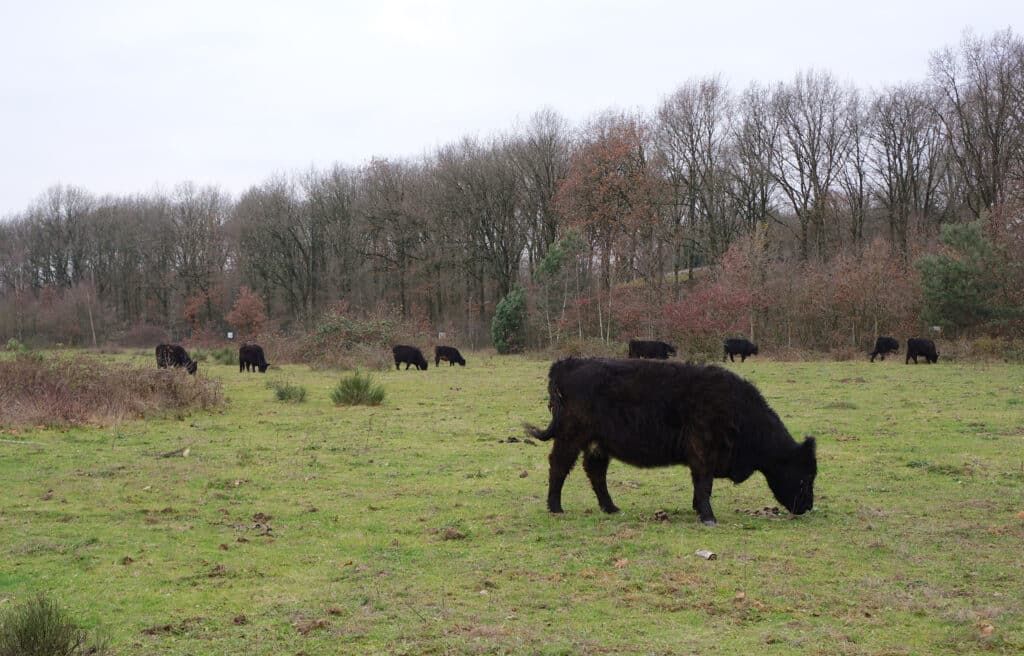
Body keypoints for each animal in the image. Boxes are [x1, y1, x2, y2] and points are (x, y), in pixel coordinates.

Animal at [524, 356, 819, 523]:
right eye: (806, 475)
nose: (808, 506)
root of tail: (567, 363)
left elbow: (700, 485)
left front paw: (698, 510)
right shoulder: (703, 450)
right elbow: (704, 484)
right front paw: (708, 516)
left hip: (598, 444)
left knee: (595, 473)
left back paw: (611, 508)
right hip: (570, 436)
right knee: (559, 466)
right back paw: (556, 507)